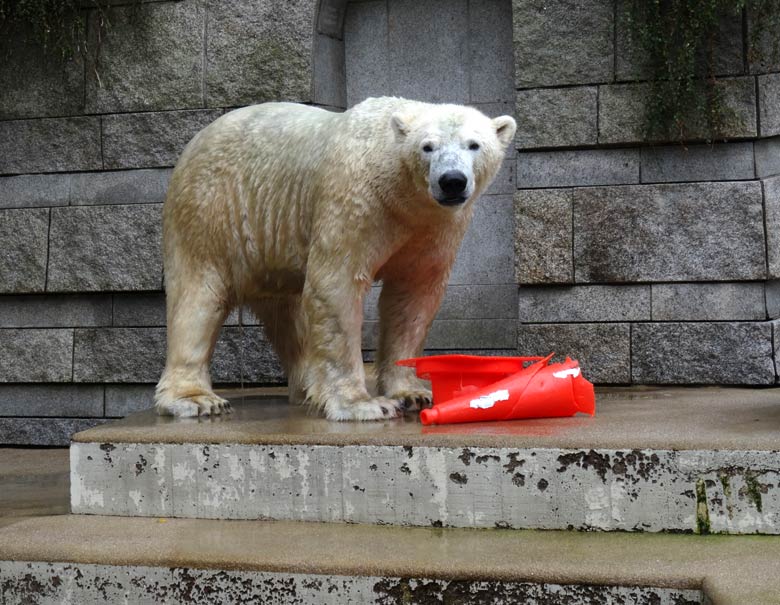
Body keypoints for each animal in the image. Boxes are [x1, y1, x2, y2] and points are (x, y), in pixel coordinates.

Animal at [155, 98, 516, 420]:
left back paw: (308, 387)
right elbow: (336, 286)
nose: (452, 180)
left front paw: (412, 392)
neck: (402, 195)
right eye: (427, 146)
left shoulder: (434, 229)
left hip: (272, 246)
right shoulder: (356, 202)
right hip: (211, 210)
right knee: (198, 298)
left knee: (289, 313)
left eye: (474, 144)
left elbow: (413, 297)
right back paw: (196, 399)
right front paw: (363, 404)